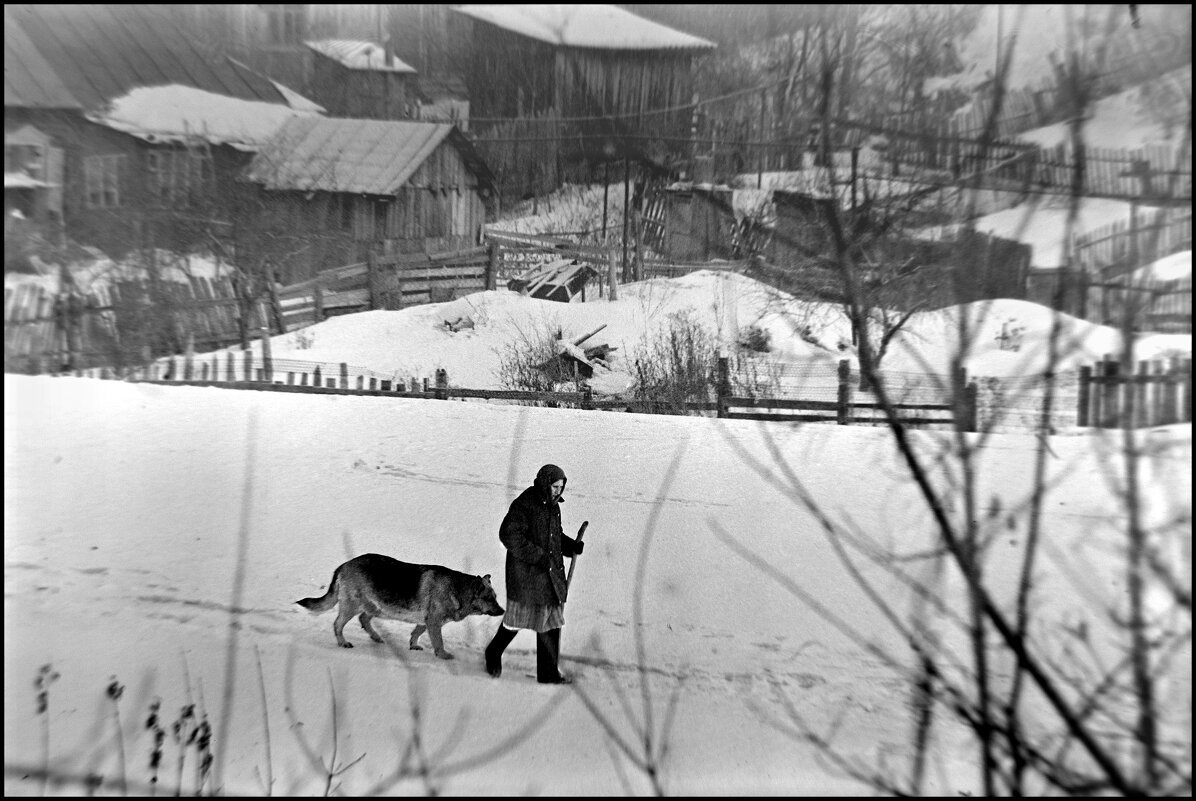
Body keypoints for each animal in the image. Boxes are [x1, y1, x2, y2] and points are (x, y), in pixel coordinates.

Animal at [301, 554, 507, 659]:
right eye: (489, 598)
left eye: (495, 598)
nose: (503, 611)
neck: (458, 590)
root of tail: (343, 564)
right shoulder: (433, 623)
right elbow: (438, 642)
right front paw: (442, 655)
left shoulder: (426, 622)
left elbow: (416, 633)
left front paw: (413, 645)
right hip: (353, 606)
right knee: (338, 624)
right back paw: (342, 642)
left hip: (376, 607)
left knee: (364, 619)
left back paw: (376, 637)